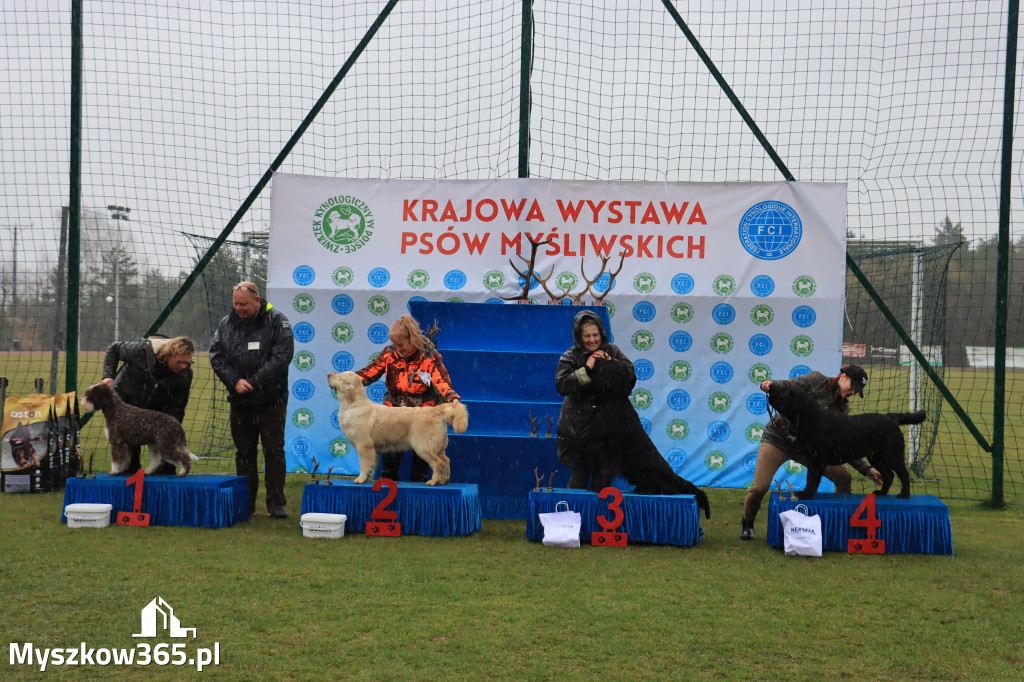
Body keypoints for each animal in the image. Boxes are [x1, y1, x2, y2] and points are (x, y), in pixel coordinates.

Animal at [577, 356, 712, 516]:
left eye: (610, 361)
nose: (596, 357)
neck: (612, 400)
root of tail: (673, 476)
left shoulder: (610, 450)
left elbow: (604, 471)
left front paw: (598, 487)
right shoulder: (599, 448)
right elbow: (598, 469)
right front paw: (593, 487)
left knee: (667, 489)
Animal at [765, 378, 925, 497]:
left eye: (783, 392)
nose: (770, 389)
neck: (808, 417)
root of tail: (891, 417)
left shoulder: (817, 459)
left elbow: (812, 479)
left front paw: (806, 495)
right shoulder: (811, 457)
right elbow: (810, 477)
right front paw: (805, 493)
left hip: (892, 454)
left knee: (903, 474)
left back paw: (904, 495)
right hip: (876, 457)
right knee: (889, 475)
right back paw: (881, 493)